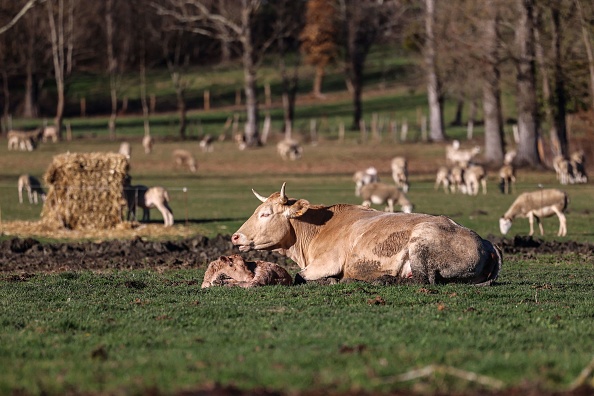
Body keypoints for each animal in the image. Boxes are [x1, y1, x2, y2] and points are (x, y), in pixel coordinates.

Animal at [230, 183, 500, 284]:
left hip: (420, 242)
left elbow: (300, 276)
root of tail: (486, 243)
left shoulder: (327, 262)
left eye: (265, 214)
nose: (235, 236)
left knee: (423, 280)